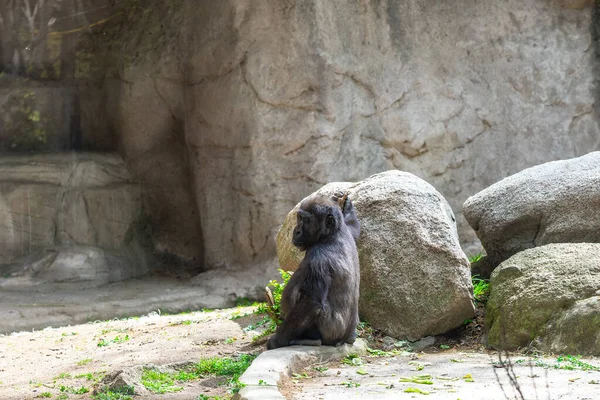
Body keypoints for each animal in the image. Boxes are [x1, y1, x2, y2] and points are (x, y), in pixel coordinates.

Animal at [268, 192, 360, 348]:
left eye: (306, 220)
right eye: (299, 218)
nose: (296, 230)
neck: (329, 235)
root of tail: (344, 340)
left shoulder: (318, 257)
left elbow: (310, 302)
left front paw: (277, 341)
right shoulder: (347, 231)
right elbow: (353, 228)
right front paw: (347, 209)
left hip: (329, 336)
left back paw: (308, 339)